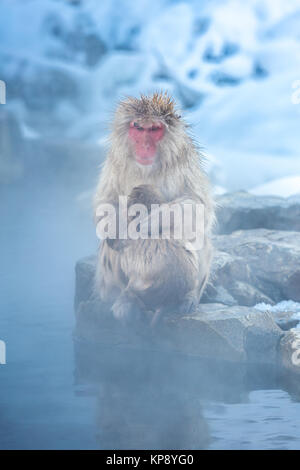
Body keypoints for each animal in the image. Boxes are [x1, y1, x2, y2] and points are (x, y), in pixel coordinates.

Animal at [94, 93, 216, 324]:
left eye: (154, 129)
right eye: (138, 128)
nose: (145, 145)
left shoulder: (184, 163)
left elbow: (197, 206)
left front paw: (149, 222)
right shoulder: (114, 162)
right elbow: (106, 205)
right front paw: (120, 226)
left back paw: (187, 298)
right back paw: (124, 302)